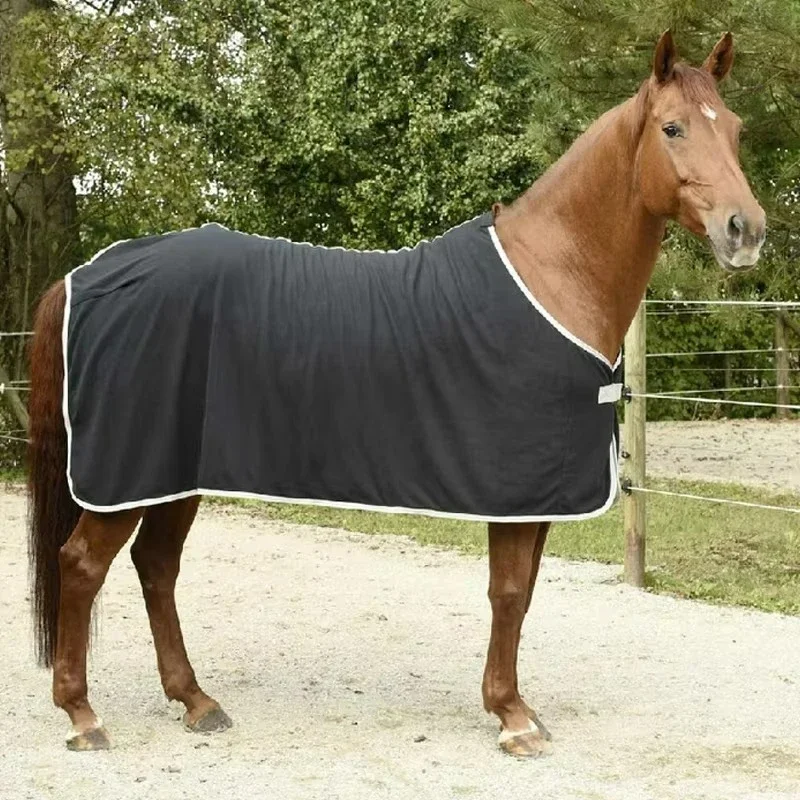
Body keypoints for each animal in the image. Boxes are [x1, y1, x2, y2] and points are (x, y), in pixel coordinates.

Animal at [27, 31, 765, 758]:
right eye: (672, 128)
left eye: (734, 129)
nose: (746, 230)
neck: (551, 275)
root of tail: (88, 274)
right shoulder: (513, 492)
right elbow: (506, 593)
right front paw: (511, 717)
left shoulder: (544, 495)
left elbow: (524, 595)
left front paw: (517, 707)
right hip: (129, 474)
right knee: (83, 565)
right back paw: (82, 715)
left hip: (175, 473)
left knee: (156, 565)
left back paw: (195, 700)